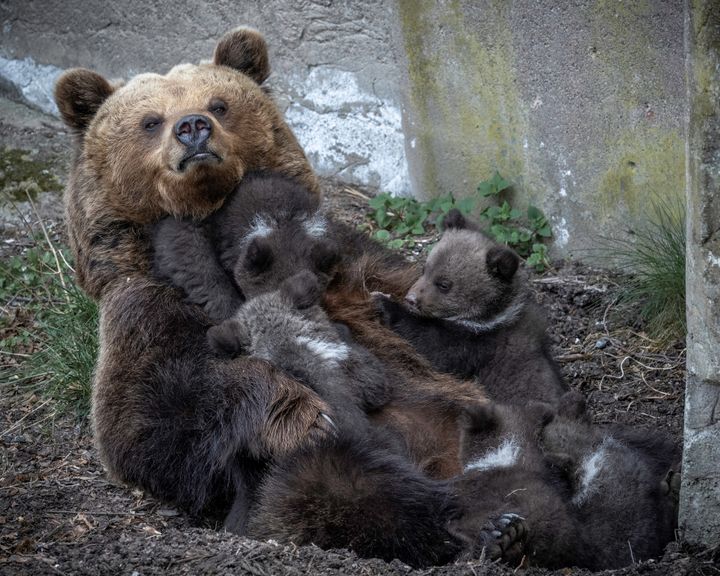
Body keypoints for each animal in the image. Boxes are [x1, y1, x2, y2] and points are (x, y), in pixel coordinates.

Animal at [54, 28, 512, 568]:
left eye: (219, 103)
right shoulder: (145, 304)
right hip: (313, 477)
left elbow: (406, 293)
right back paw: (479, 525)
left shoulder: (349, 260)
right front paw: (304, 411)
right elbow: (148, 422)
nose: (193, 127)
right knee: (350, 487)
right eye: (150, 120)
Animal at [374, 208, 564, 404]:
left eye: (444, 284)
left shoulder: (478, 345)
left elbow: (432, 344)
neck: (490, 315)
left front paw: (384, 303)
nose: (411, 299)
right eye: (424, 269)